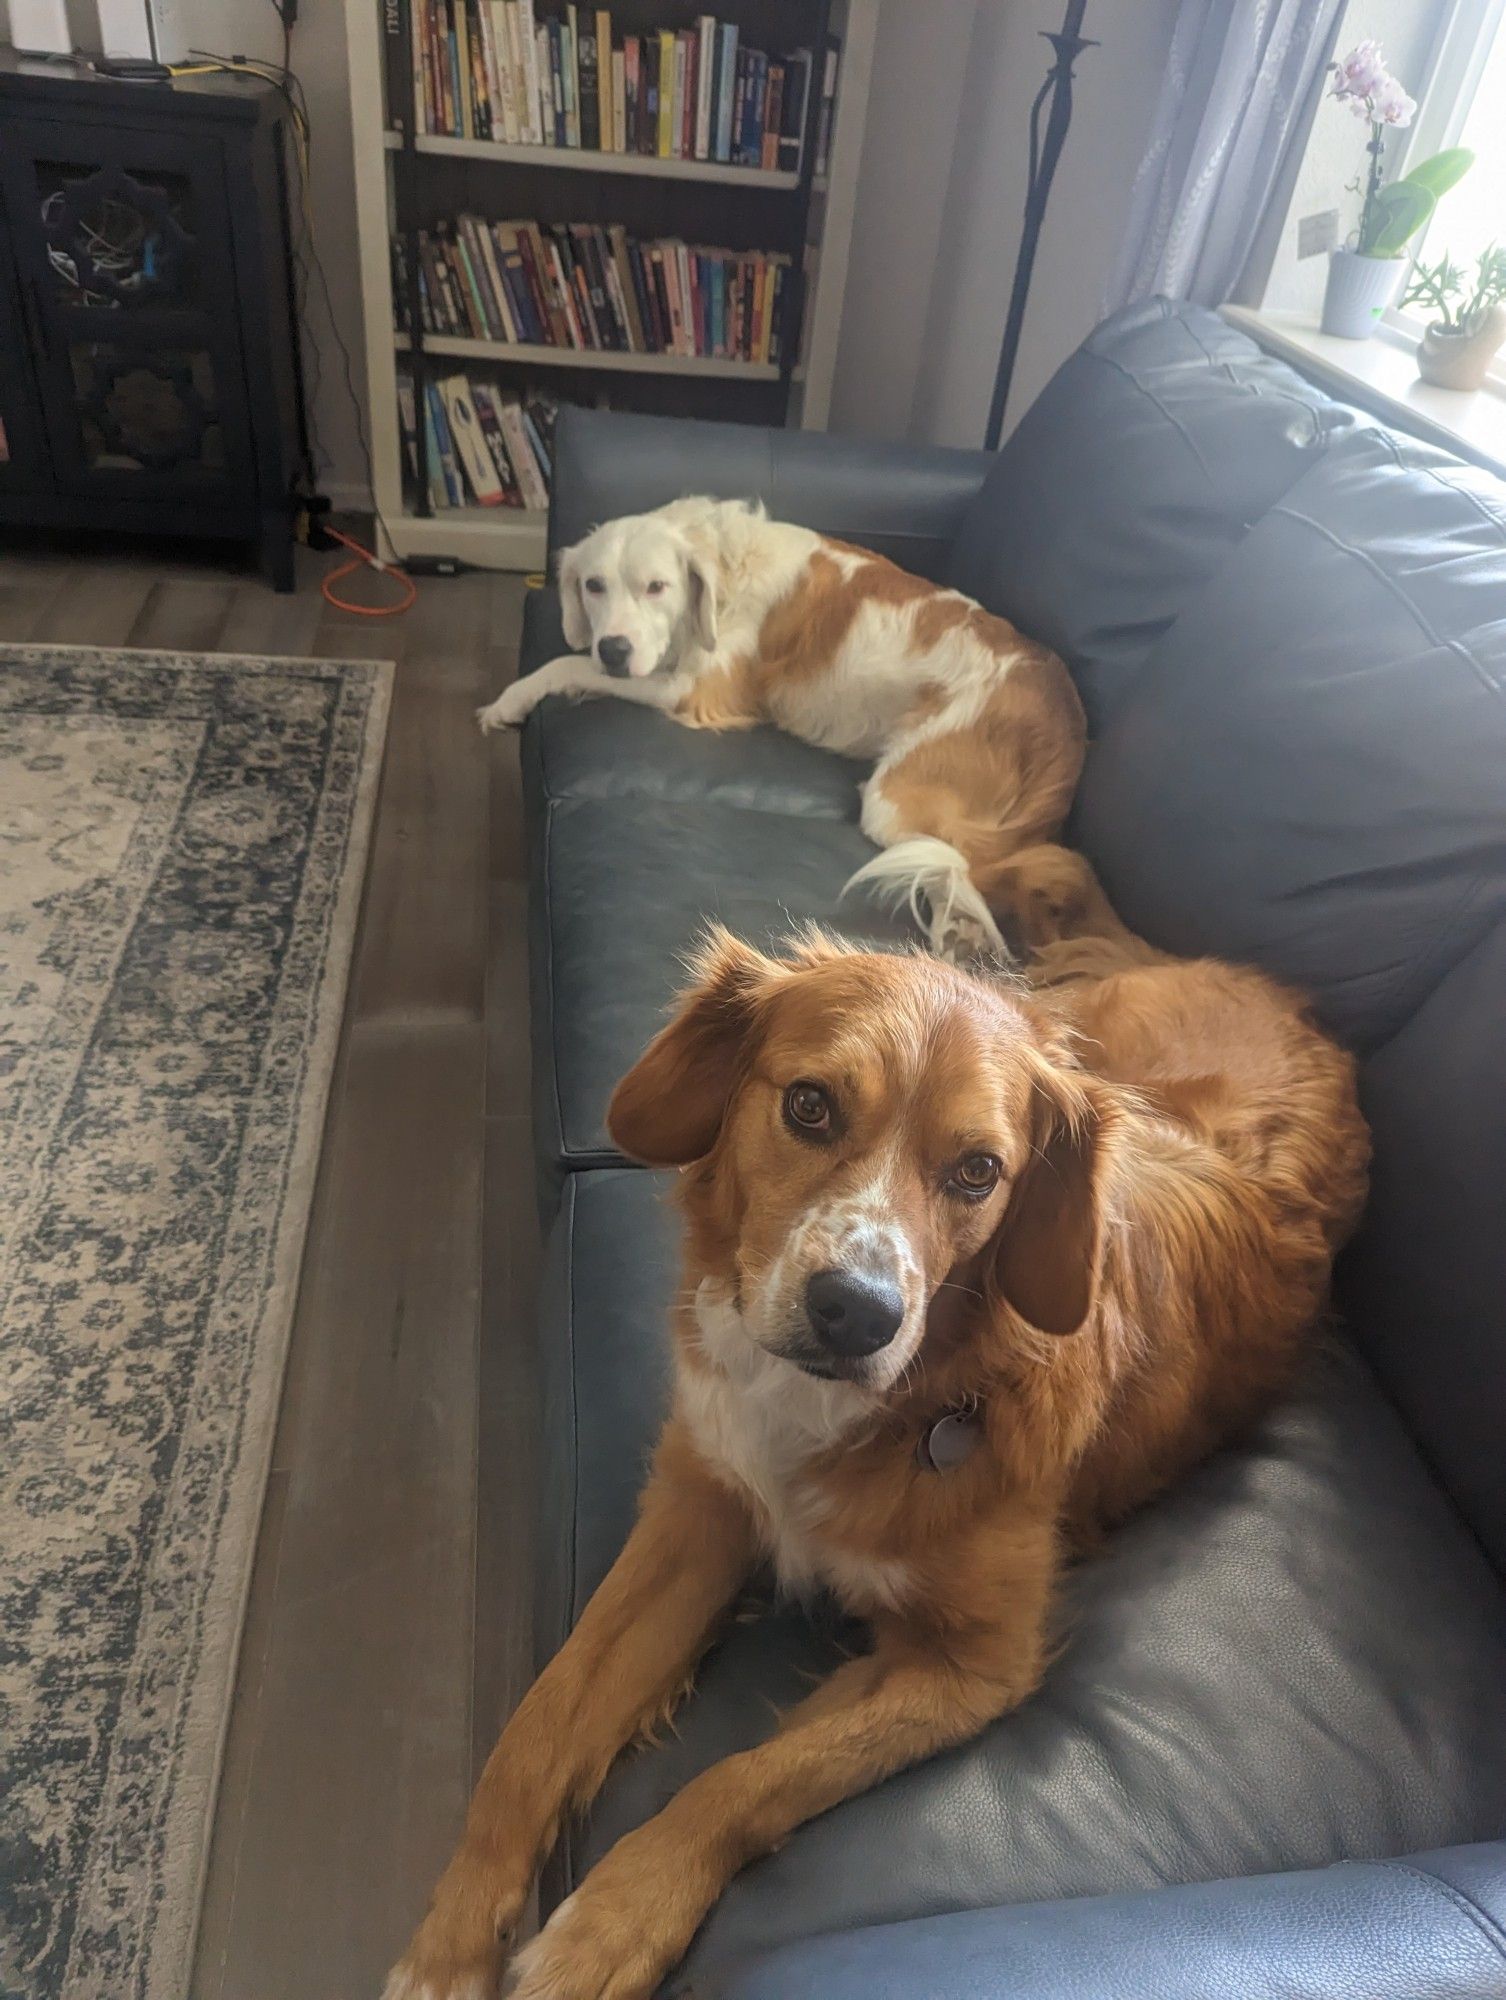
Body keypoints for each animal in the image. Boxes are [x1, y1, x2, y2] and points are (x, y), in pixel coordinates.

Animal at [384, 860, 1360, 2000]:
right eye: (809, 1105)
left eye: (980, 1170)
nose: (857, 1311)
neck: (909, 1390)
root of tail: (1274, 989)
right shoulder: (700, 1507)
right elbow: (535, 1726)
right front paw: (452, 1939)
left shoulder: (971, 1667)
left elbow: (747, 1777)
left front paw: (608, 1925)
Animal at [482, 504, 1080, 964]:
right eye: (593, 586)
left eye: (657, 587)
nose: (613, 650)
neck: (724, 566)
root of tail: (1063, 709)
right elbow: (577, 661)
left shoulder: (693, 689)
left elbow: (565, 662)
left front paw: (510, 699)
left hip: (894, 798)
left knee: (958, 863)